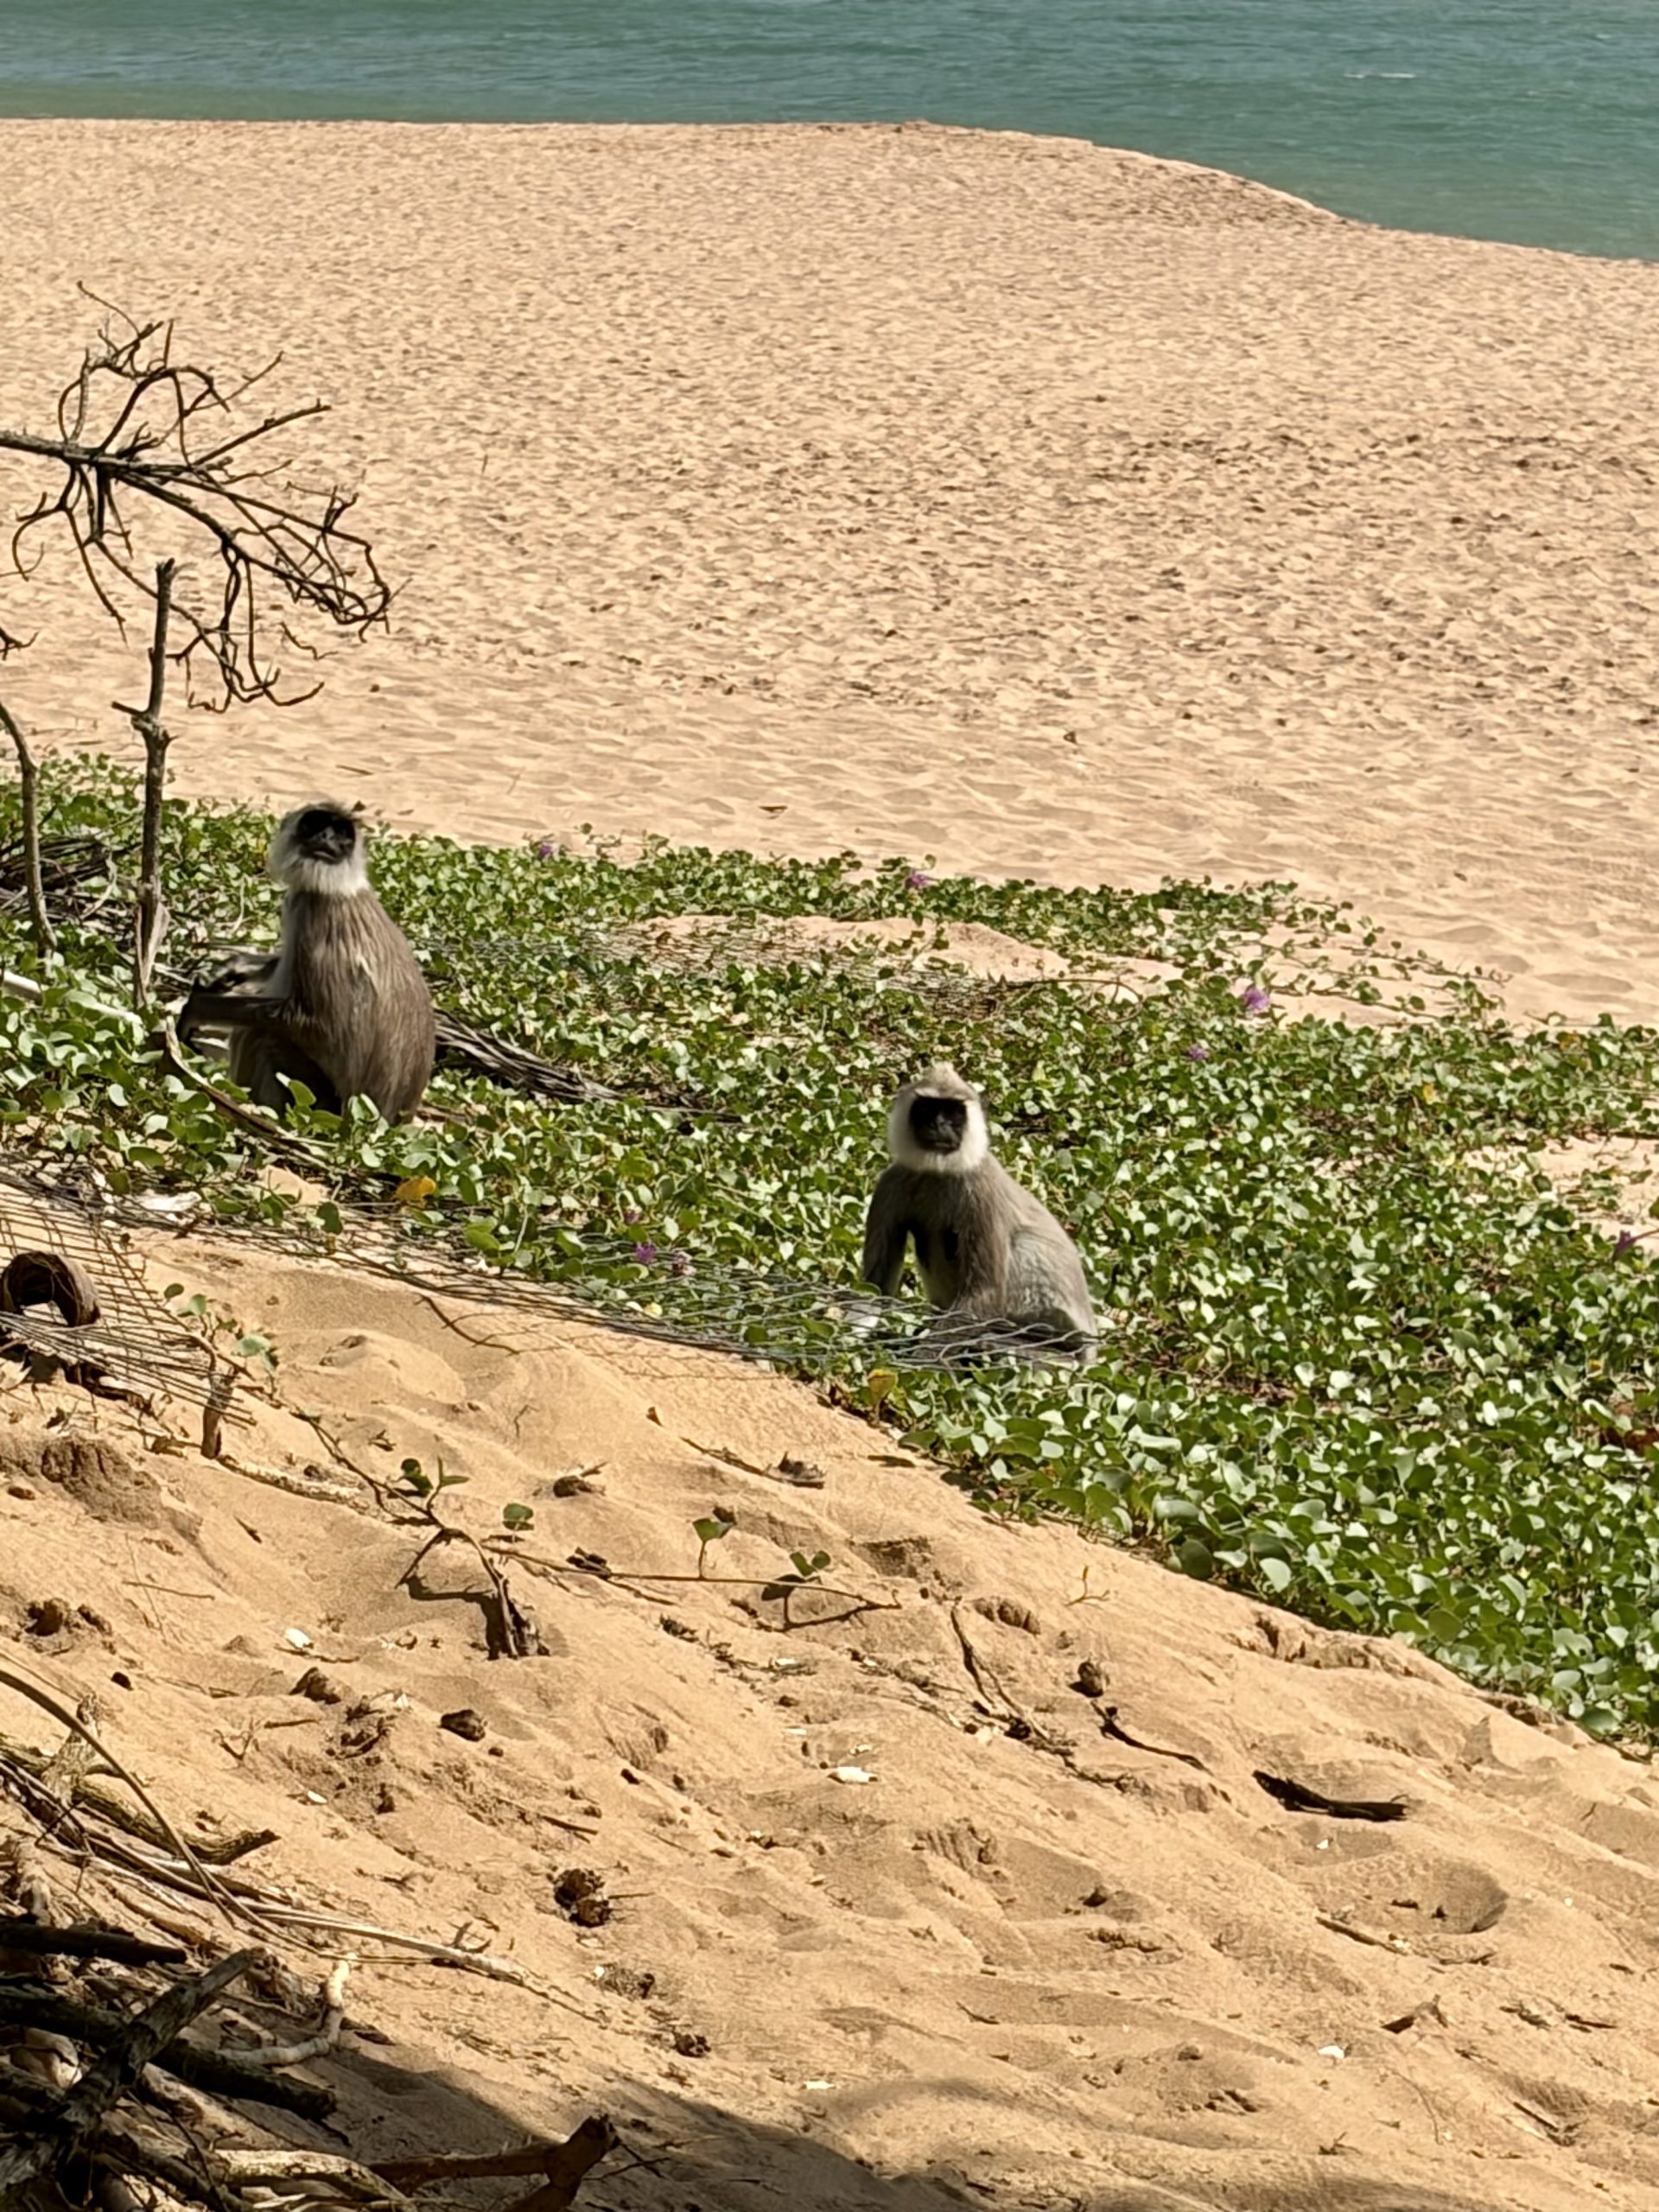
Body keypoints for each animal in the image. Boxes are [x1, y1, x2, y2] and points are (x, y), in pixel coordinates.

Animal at [178, 801, 435, 1123]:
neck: (341, 887)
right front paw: (229, 968)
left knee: (258, 1033)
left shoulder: (313, 914)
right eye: (316, 824)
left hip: (319, 1104)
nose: (327, 837)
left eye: (341, 833)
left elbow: (314, 1023)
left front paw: (195, 1008)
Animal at [858, 1063, 1097, 1362]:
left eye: (952, 1112)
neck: (939, 1171)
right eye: (928, 1108)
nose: (939, 1125)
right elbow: (874, 1289)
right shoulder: (891, 1183)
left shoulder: (981, 1188)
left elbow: (985, 1293)